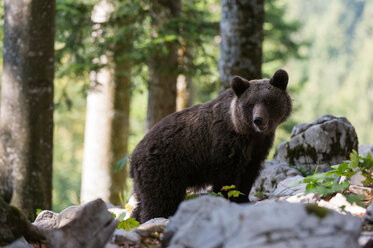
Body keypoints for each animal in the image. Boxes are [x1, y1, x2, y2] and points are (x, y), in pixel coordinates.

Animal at [129, 69, 292, 222]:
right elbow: (226, 179)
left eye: (268, 101)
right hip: (164, 168)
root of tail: (133, 156)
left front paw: (243, 198)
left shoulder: (257, 149)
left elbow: (249, 175)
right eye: (251, 104)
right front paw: (229, 199)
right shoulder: (226, 145)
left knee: (142, 202)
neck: (248, 133)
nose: (258, 120)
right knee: (161, 199)